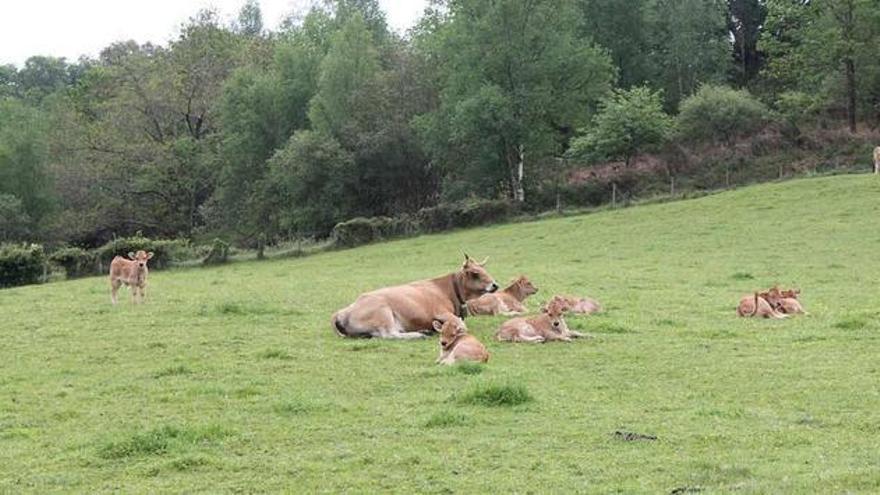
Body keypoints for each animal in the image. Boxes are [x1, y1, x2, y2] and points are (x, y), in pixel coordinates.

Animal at [330, 256, 498, 340]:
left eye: (484, 270)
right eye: (475, 273)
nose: (495, 285)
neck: (446, 289)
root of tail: (342, 311)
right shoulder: (442, 312)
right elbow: (462, 326)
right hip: (383, 313)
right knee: (388, 334)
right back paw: (419, 334)